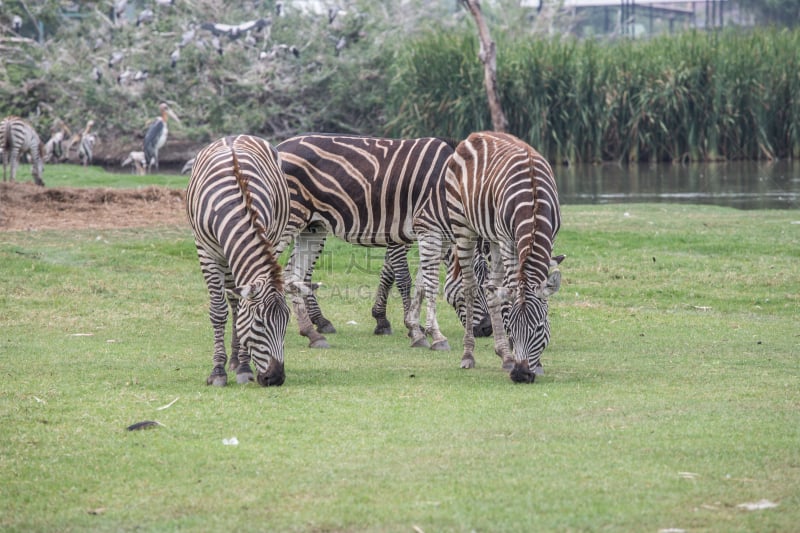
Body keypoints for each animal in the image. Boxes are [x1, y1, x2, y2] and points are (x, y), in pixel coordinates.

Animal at [186, 134, 292, 386]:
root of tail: (235, 137)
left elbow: (241, 307)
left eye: (287, 323)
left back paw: (236, 361)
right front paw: (217, 371)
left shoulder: (267, 238)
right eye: (259, 324)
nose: (276, 378)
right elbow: (218, 311)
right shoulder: (206, 251)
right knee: (233, 302)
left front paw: (244, 367)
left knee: (236, 301)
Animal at [446, 132, 564, 382]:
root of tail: (475, 135)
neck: (534, 202)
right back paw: (469, 355)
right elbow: (510, 291)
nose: (520, 374)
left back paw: (504, 355)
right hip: (463, 226)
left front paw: (533, 362)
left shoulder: (550, 237)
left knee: (491, 287)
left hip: (492, 237)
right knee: (470, 286)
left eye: (539, 327)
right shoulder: (508, 240)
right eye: (512, 328)